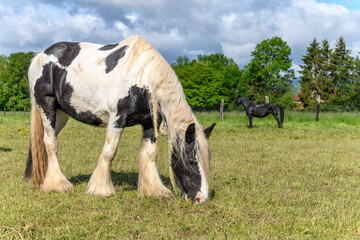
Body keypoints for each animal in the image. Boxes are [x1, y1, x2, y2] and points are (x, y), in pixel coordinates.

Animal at [26, 36, 217, 204]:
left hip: (60, 115)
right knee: (50, 143)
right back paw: (58, 184)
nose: (201, 198)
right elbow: (109, 152)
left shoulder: (150, 123)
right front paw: (101, 189)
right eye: (192, 160)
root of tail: (40, 55)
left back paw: (39, 178)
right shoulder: (117, 119)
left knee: (42, 141)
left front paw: (154, 190)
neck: (141, 78)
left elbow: (150, 154)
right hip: (47, 107)